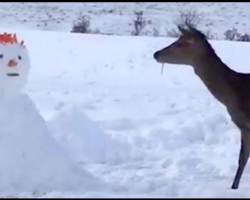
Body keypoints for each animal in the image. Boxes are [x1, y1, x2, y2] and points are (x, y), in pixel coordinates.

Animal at [152, 24, 250, 190]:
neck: (234, 95)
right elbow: (242, 158)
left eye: (180, 42)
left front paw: (233, 187)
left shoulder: (247, 125)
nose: (156, 54)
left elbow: (242, 158)